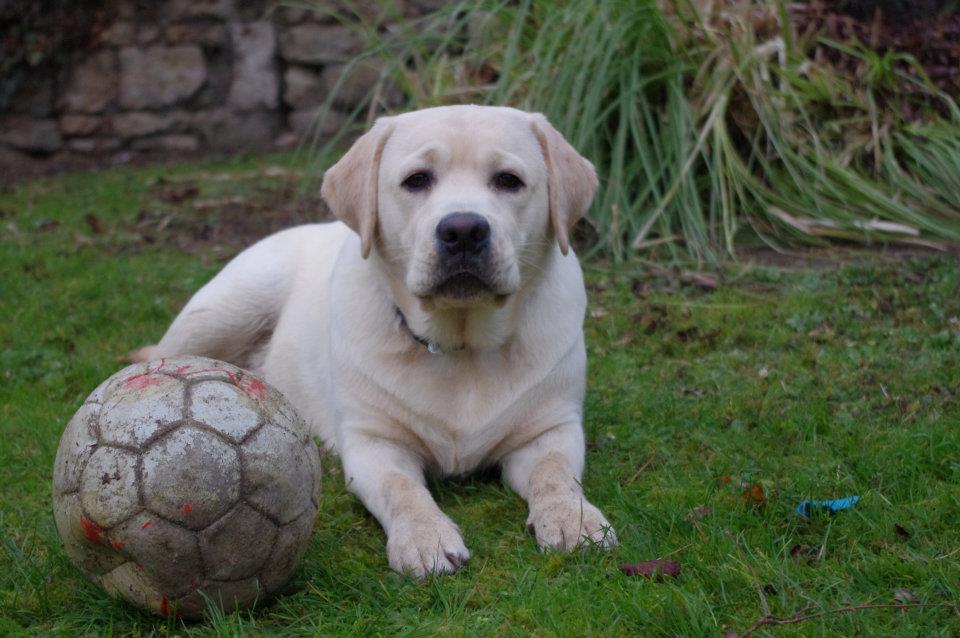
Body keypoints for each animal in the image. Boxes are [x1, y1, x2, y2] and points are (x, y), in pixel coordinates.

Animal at [135, 106, 616, 580]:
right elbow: (400, 487)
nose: (463, 230)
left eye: (509, 181)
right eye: (417, 180)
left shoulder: (550, 429)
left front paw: (574, 519)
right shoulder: (374, 442)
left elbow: (555, 475)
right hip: (229, 306)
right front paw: (425, 538)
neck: (460, 346)